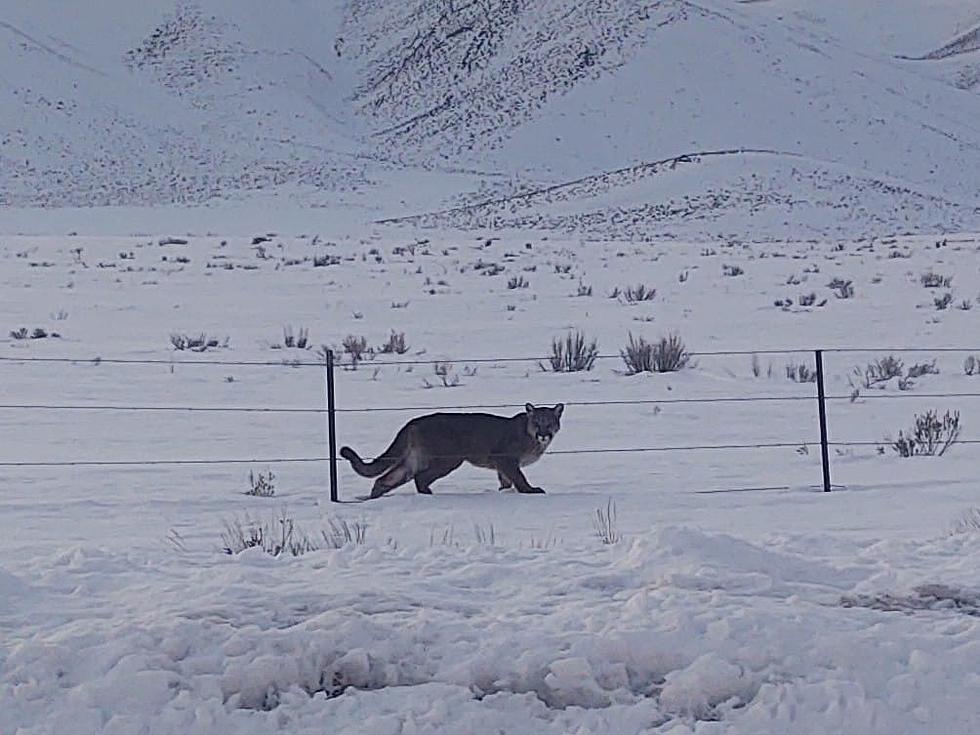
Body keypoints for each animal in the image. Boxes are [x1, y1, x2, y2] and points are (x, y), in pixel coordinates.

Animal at [340, 402, 564, 500]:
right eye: (537, 423)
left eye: (549, 423)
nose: (544, 434)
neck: (529, 435)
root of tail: (413, 422)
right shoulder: (506, 459)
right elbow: (519, 477)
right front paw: (530, 490)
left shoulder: (503, 465)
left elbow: (506, 480)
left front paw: (504, 491)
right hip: (449, 459)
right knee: (420, 477)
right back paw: (427, 494)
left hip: (415, 459)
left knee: (386, 478)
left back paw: (374, 498)